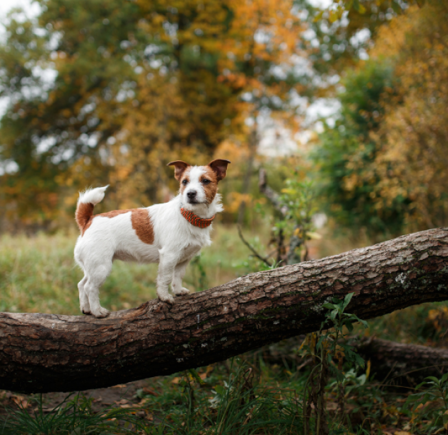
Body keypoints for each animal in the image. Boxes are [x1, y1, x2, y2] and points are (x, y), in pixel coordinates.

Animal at [73, 158, 229, 318]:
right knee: (90, 287)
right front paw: (164, 297)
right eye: (184, 182)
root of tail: (88, 220)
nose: (190, 193)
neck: (188, 215)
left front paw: (178, 291)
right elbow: (165, 278)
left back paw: (86, 309)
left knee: (81, 284)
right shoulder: (169, 255)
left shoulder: (184, 259)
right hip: (101, 266)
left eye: (205, 181)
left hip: (93, 266)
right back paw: (97, 311)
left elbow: (177, 276)